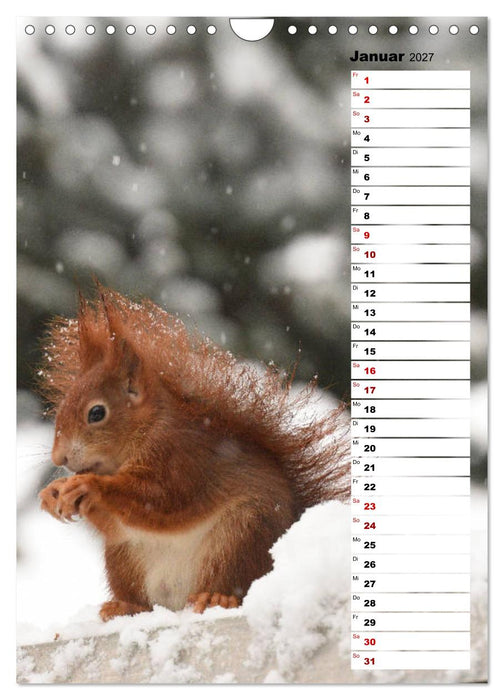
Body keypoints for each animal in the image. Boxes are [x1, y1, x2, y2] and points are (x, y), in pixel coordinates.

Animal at [37, 286, 349, 620]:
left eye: (96, 413)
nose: (59, 459)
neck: (143, 432)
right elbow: (116, 521)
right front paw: (52, 493)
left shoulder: (182, 457)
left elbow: (161, 498)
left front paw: (89, 485)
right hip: (123, 556)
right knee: (141, 597)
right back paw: (125, 605)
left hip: (241, 535)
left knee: (233, 581)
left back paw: (216, 597)